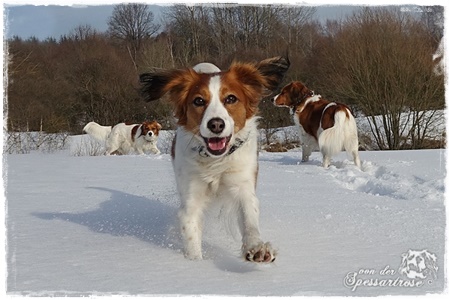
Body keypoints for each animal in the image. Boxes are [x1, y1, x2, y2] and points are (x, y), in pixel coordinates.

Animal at [139, 56, 290, 262]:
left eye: (231, 98)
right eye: (198, 101)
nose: (216, 124)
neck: (215, 162)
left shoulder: (242, 185)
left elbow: (249, 220)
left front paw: (257, 248)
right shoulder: (191, 200)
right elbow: (192, 236)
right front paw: (195, 264)